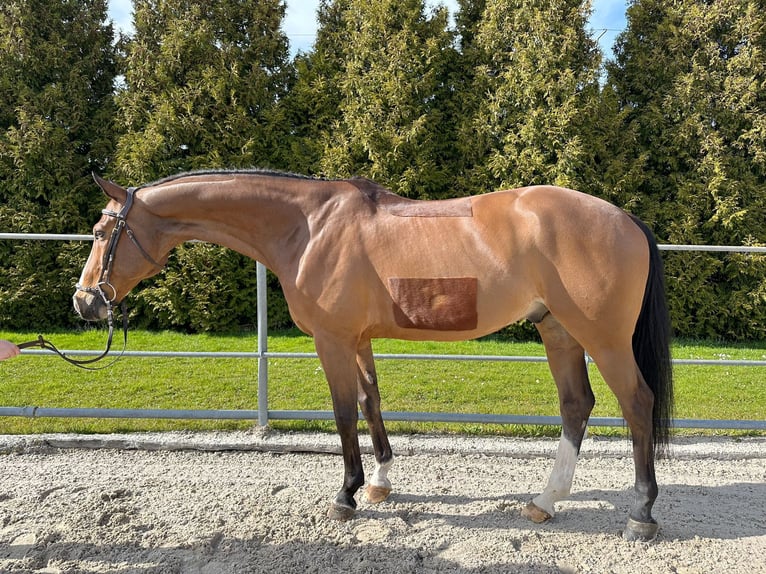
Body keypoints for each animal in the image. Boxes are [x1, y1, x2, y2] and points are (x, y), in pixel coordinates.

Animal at [73, 169, 673, 541]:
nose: (84, 302)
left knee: (636, 403)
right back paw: (545, 502)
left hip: (602, 339)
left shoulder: (332, 340)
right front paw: (381, 482)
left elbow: (342, 413)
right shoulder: (358, 339)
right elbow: (370, 402)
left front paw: (347, 495)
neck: (309, 228)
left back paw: (641, 514)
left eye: (102, 230)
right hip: (559, 332)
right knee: (577, 406)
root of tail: (625, 219)